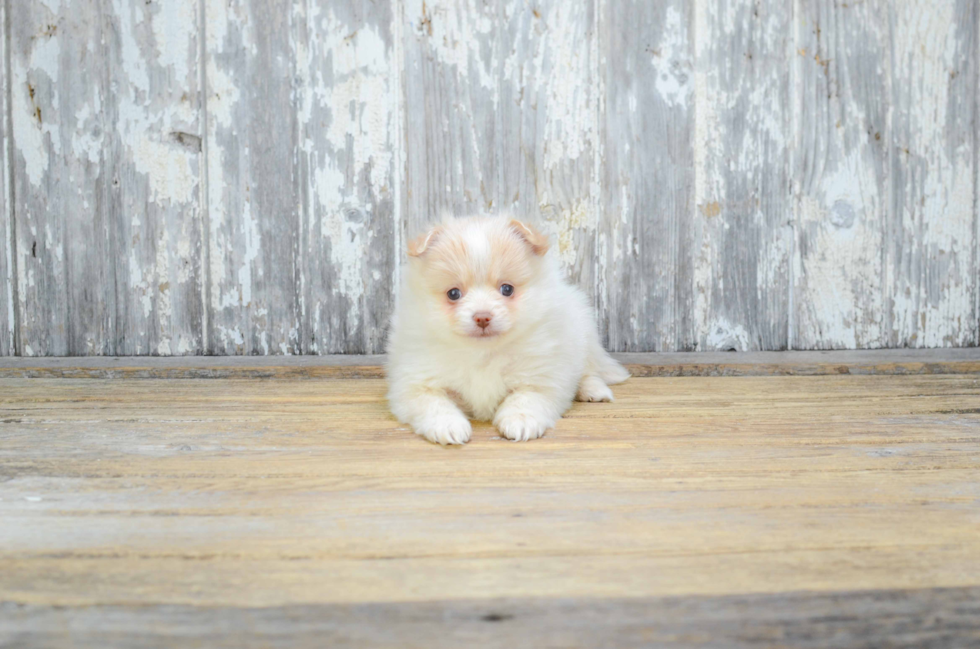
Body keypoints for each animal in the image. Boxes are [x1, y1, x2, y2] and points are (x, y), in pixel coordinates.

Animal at [382, 215, 628, 442]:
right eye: (453, 293)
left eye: (507, 289)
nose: (482, 317)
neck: (482, 353)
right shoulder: (415, 383)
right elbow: (434, 403)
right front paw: (448, 425)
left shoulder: (543, 376)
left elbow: (525, 397)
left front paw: (520, 421)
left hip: (584, 334)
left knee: (588, 370)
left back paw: (594, 391)